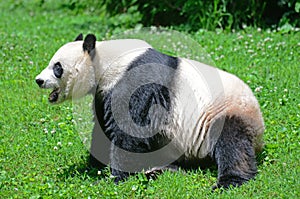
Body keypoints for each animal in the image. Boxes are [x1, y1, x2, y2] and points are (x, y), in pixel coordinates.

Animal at [35, 33, 264, 189]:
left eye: (57, 67)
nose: (39, 80)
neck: (109, 61)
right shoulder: (104, 92)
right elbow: (102, 127)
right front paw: (95, 163)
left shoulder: (136, 81)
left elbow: (129, 131)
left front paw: (117, 176)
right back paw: (162, 170)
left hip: (225, 111)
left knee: (232, 145)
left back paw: (229, 181)